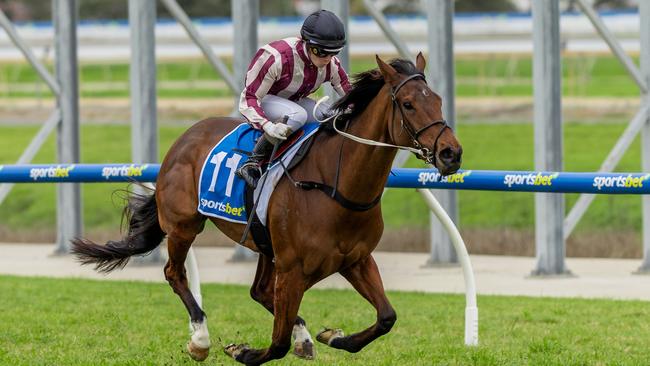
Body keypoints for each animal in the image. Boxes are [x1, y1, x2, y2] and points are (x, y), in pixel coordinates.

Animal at [71, 52, 460, 366]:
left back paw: (303, 335)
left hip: (264, 244)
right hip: (184, 225)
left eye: (439, 100)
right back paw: (200, 339)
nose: (451, 153)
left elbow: (386, 317)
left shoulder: (355, 259)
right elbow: (277, 344)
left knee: (258, 291)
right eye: (408, 104)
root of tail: (184, 137)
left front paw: (332, 336)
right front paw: (242, 350)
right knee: (175, 273)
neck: (336, 187)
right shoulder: (293, 268)